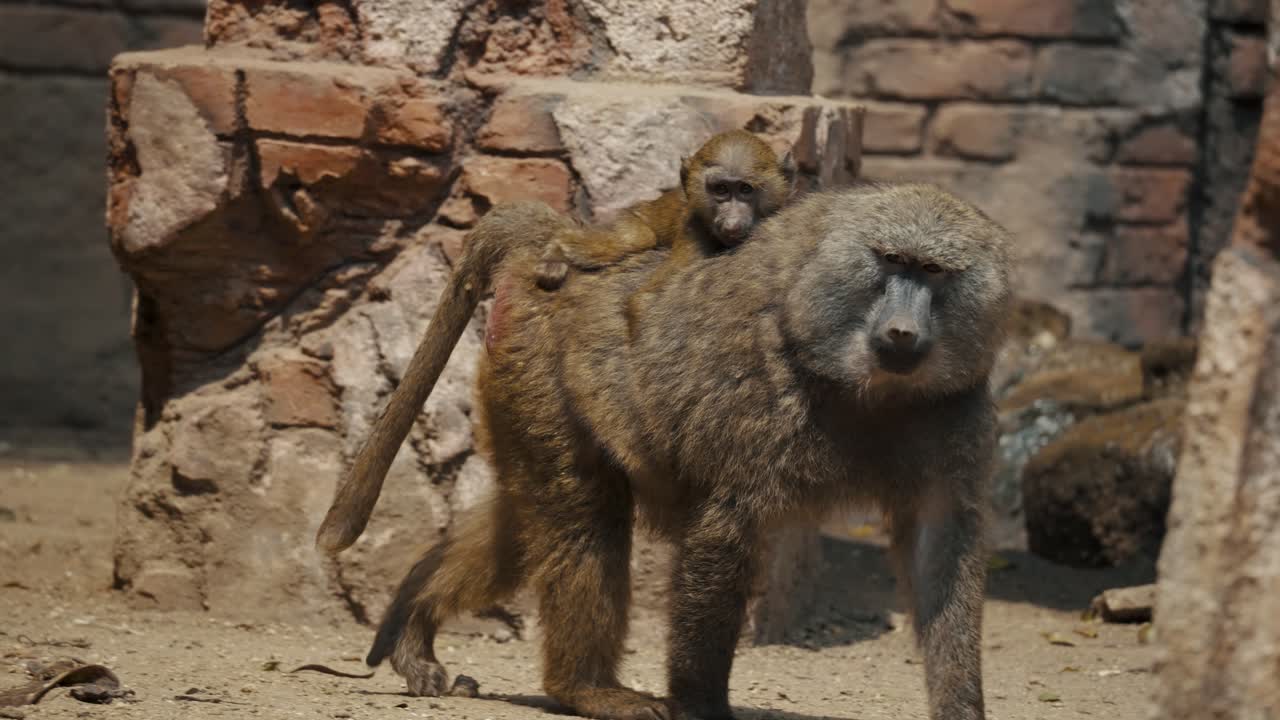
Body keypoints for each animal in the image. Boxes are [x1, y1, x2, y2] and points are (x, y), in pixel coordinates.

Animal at [317, 183, 1013, 720]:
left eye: (933, 273)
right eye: (891, 261)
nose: (902, 332)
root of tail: (554, 246)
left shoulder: (955, 412)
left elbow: (940, 545)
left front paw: (960, 708)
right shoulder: (757, 405)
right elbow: (724, 530)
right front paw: (700, 705)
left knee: (527, 519)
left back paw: (414, 623)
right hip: (539, 368)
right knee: (584, 518)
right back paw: (585, 689)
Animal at [531, 128, 797, 291]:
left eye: (745, 189)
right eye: (721, 189)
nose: (731, 223)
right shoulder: (694, 227)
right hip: (632, 218)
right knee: (638, 238)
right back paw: (556, 250)